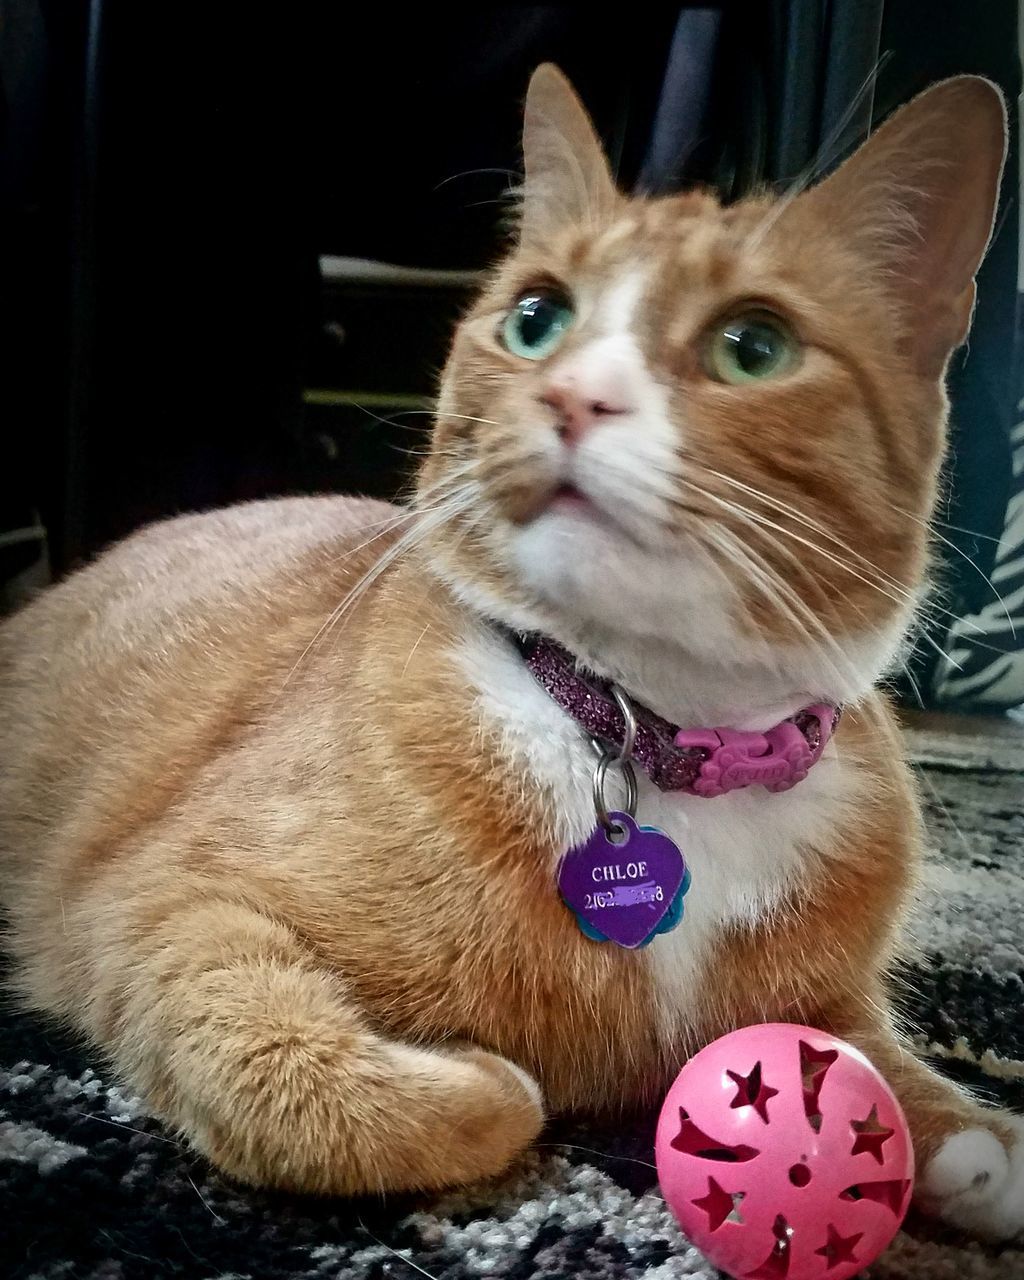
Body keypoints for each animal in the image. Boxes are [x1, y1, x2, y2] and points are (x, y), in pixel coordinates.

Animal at [2, 67, 1024, 1228]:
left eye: (753, 346)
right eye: (538, 318)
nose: (575, 395)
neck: (653, 729)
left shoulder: (835, 995)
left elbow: (867, 1053)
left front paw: (968, 1137)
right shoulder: (156, 906)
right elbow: (323, 1080)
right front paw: (479, 1083)